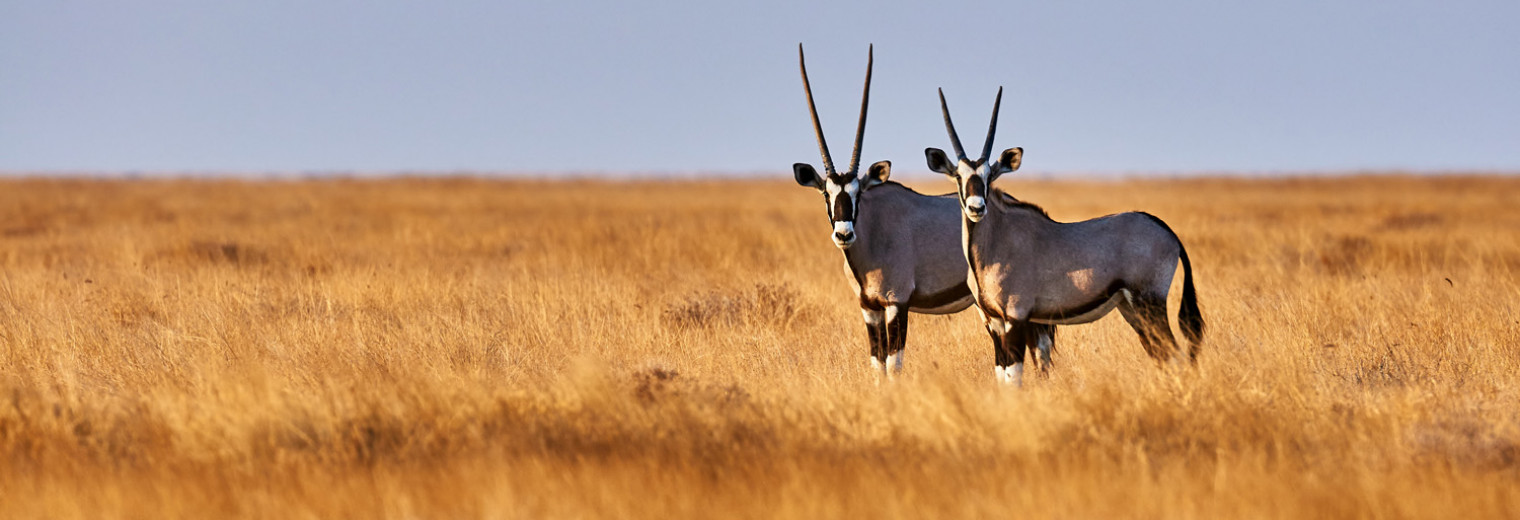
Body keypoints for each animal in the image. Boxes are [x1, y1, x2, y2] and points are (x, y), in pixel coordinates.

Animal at [790, 44, 991, 375]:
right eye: (826, 194)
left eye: (858, 193)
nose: (843, 234)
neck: (872, 236)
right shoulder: (869, 308)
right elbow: (877, 363)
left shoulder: (898, 303)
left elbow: (894, 365)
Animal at [918, 87, 1203, 386]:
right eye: (958, 177)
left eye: (989, 176)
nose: (976, 208)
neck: (993, 246)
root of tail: (1167, 232)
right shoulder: (993, 322)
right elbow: (1002, 376)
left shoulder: (1016, 318)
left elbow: (1014, 378)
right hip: (1132, 308)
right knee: (1163, 356)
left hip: (1150, 303)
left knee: (1174, 355)